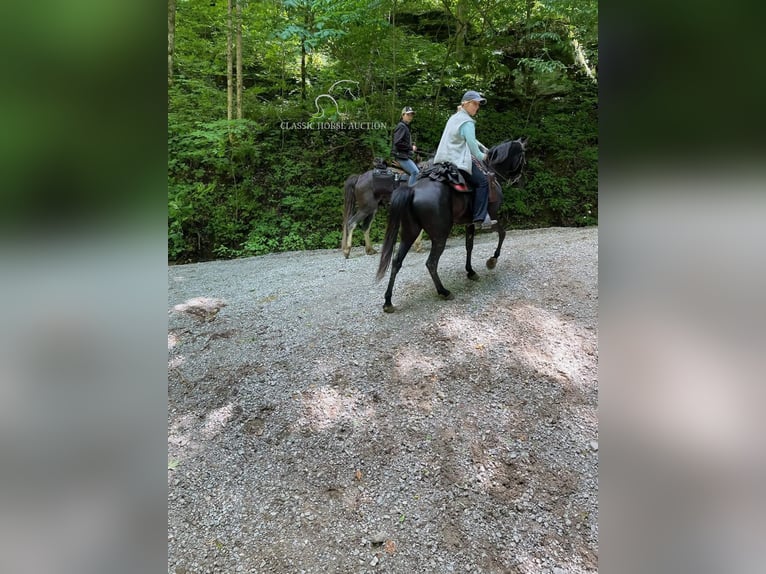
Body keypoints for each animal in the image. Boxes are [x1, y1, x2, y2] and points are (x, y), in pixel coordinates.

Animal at [376, 137, 528, 312]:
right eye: (523, 155)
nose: (520, 180)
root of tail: (412, 190)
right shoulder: (492, 218)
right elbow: (503, 234)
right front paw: (492, 261)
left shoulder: (470, 223)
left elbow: (469, 246)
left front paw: (471, 271)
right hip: (440, 235)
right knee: (431, 263)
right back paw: (443, 291)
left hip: (409, 232)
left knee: (396, 262)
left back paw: (388, 301)